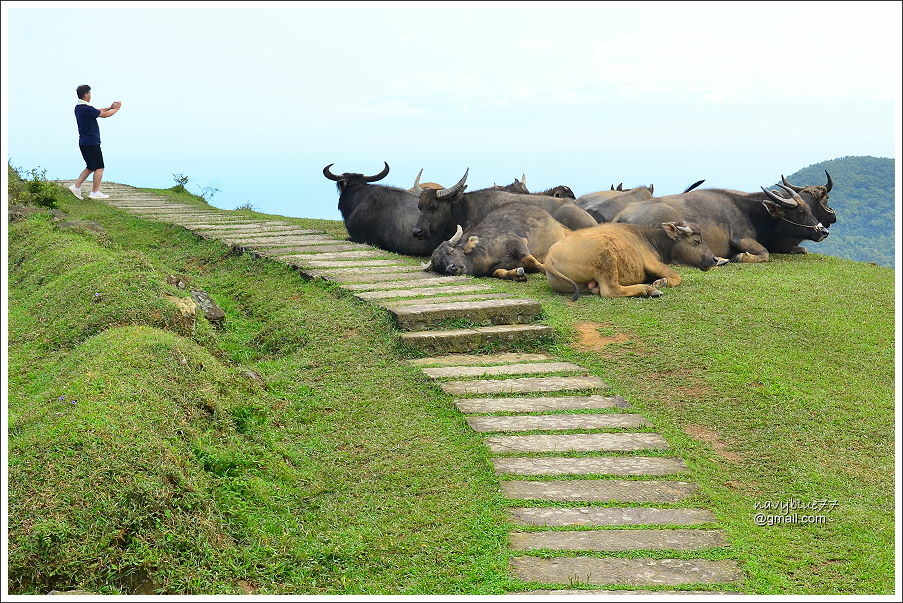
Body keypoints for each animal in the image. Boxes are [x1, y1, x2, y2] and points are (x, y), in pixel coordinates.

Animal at [544, 222, 728, 300]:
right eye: (697, 241)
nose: (714, 259)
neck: (648, 237)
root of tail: (549, 258)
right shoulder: (653, 263)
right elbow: (676, 277)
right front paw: (660, 282)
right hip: (606, 260)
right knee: (610, 290)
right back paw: (648, 290)